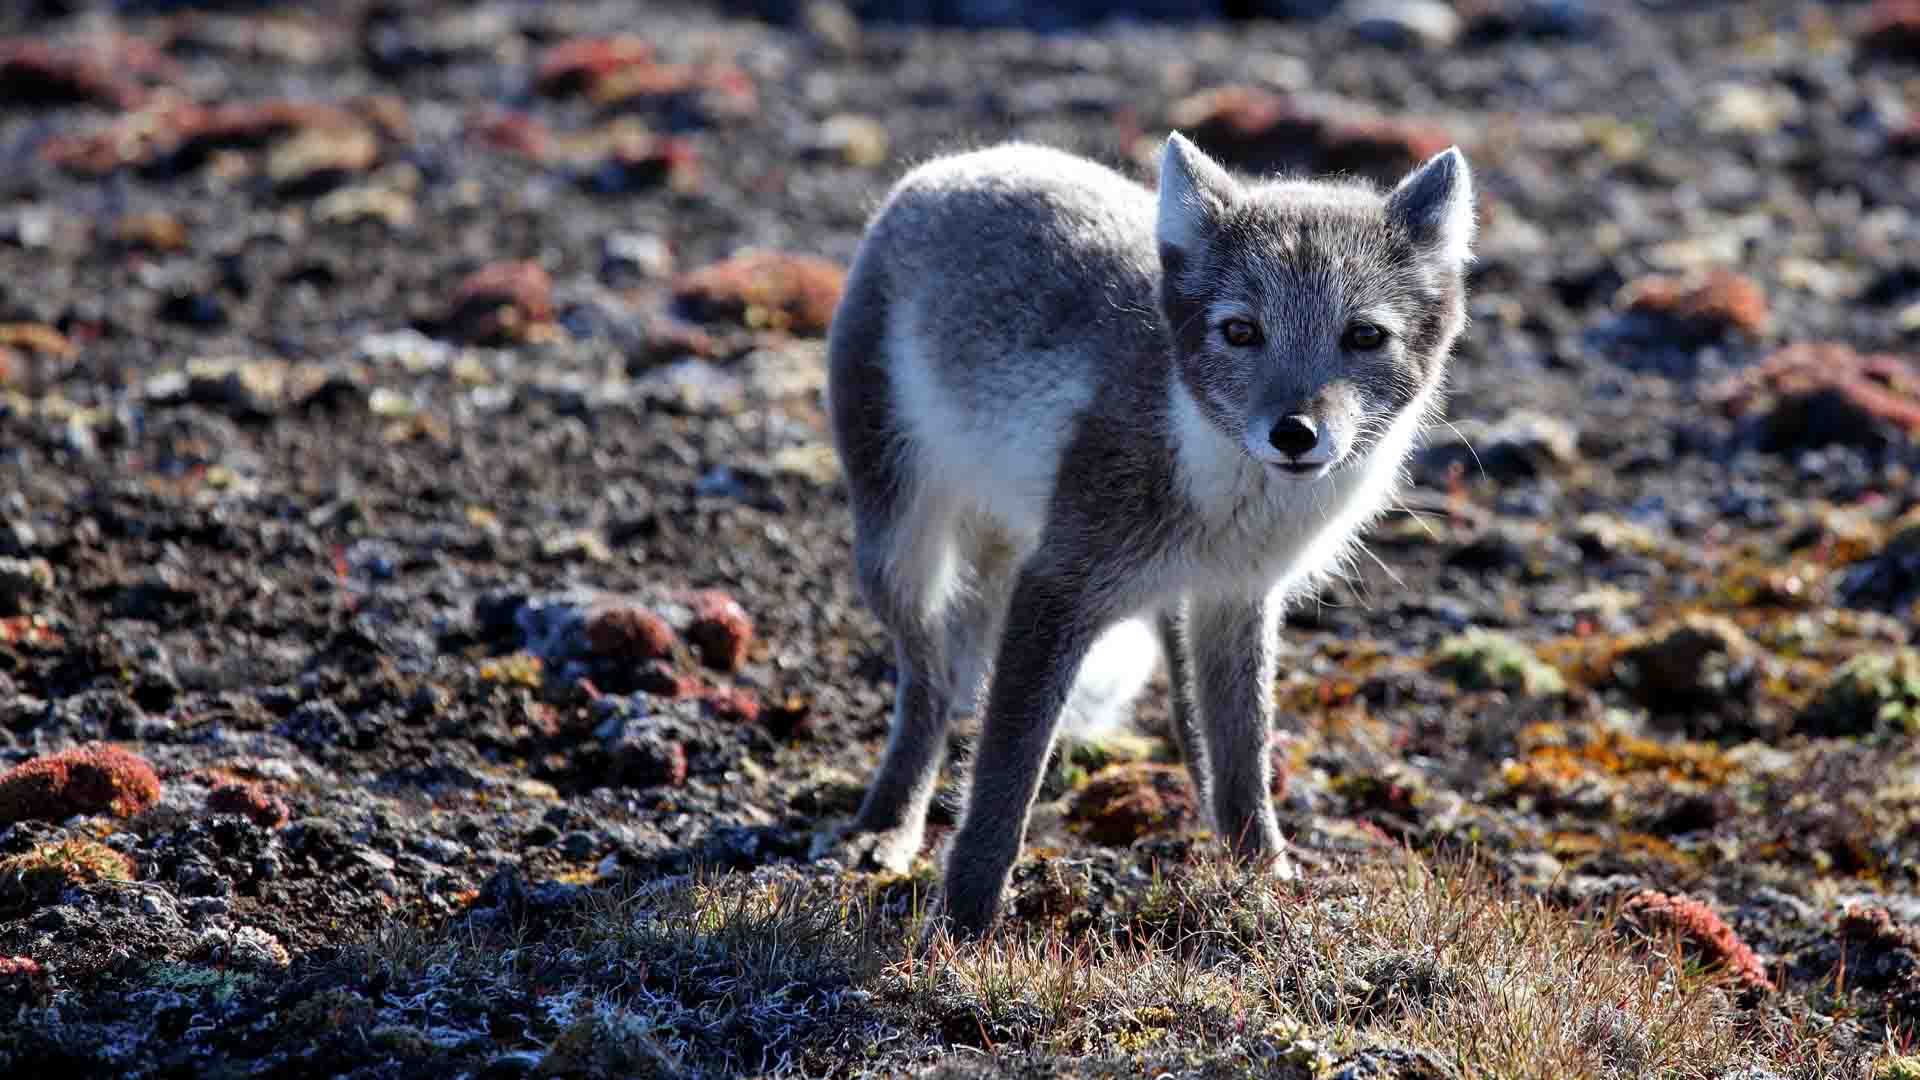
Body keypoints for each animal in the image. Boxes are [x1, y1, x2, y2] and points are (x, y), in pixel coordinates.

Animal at [822, 131, 1475, 935]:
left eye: (1364, 336)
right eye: (1240, 331)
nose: (1294, 433)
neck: (1219, 488)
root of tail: (956, 163)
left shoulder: (1239, 596)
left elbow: (1242, 754)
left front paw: (1263, 879)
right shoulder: (1057, 582)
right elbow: (1007, 771)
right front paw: (966, 918)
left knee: (1176, 703)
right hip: (898, 547)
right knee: (932, 683)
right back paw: (890, 824)